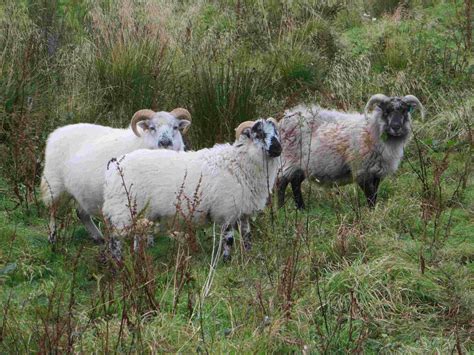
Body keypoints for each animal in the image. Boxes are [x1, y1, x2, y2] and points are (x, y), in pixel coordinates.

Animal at [39, 108, 191, 245]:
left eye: (175, 127)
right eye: (152, 127)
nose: (165, 143)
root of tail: (57, 132)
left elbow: (150, 221)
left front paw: (149, 242)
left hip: (83, 191)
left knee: (81, 213)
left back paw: (99, 237)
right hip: (54, 184)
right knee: (52, 211)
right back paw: (52, 238)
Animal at [103, 118, 282, 260]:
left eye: (276, 133)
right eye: (259, 134)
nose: (277, 149)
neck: (239, 164)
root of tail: (113, 167)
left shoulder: (243, 212)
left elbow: (247, 236)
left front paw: (249, 256)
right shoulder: (226, 211)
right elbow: (229, 239)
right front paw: (226, 260)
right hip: (122, 212)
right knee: (114, 240)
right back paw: (119, 264)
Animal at [276, 95, 424, 211]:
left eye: (404, 111)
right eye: (386, 111)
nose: (396, 127)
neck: (372, 131)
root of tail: (285, 118)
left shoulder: (376, 172)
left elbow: (375, 194)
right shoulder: (362, 170)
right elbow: (370, 196)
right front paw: (371, 214)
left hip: (301, 165)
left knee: (295, 182)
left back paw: (301, 208)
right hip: (289, 159)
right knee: (282, 182)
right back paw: (281, 209)